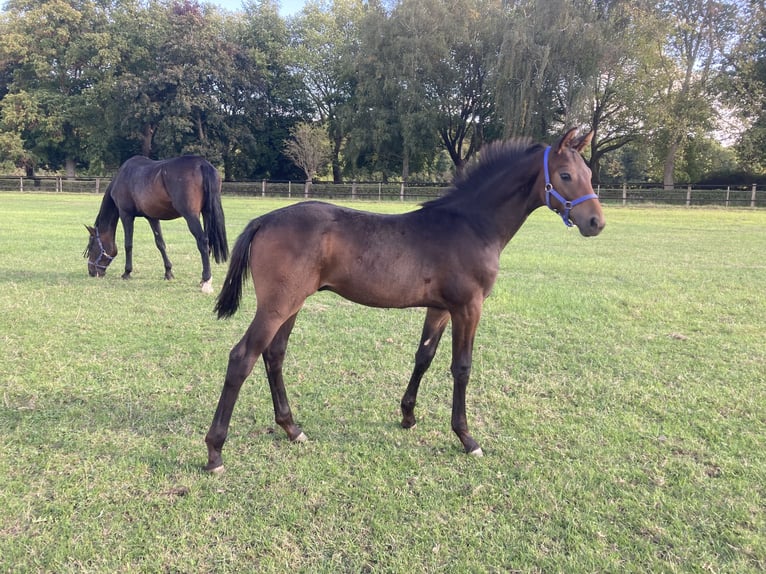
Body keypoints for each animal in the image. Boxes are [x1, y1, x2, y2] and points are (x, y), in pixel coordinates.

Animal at [85, 155, 228, 292]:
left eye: (91, 246)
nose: (91, 272)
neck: (123, 176)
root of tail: (202, 164)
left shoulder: (126, 215)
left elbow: (128, 245)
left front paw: (127, 272)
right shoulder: (152, 217)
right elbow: (160, 244)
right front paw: (168, 272)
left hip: (191, 216)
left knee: (202, 241)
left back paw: (206, 280)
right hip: (207, 213)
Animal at [204, 129, 608, 472]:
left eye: (589, 173)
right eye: (565, 175)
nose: (596, 223)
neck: (472, 225)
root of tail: (265, 220)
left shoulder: (440, 308)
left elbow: (424, 357)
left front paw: (408, 416)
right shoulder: (469, 307)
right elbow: (462, 367)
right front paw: (467, 438)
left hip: (292, 304)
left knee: (274, 355)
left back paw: (292, 428)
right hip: (277, 305)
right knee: (242, 357)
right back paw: (214, 452)